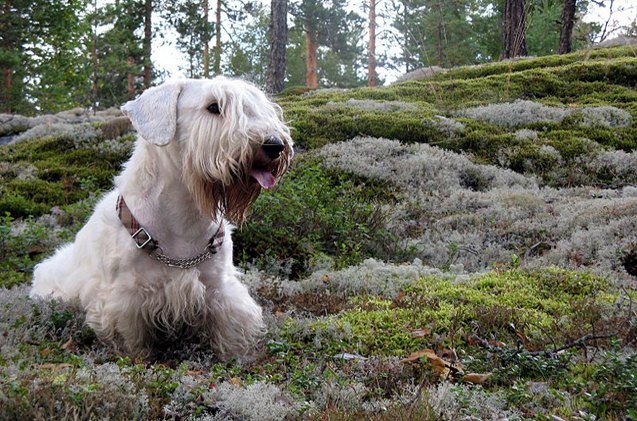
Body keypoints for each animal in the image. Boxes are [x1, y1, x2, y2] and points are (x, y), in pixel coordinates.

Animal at [29, 76, 294, 358]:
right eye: (213, 107)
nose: (274, 145)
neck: (183, 217)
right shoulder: (123, 299)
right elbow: (131, 340)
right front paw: (138, 358)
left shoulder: (219, 286)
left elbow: (230, 328)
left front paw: (237, 356)